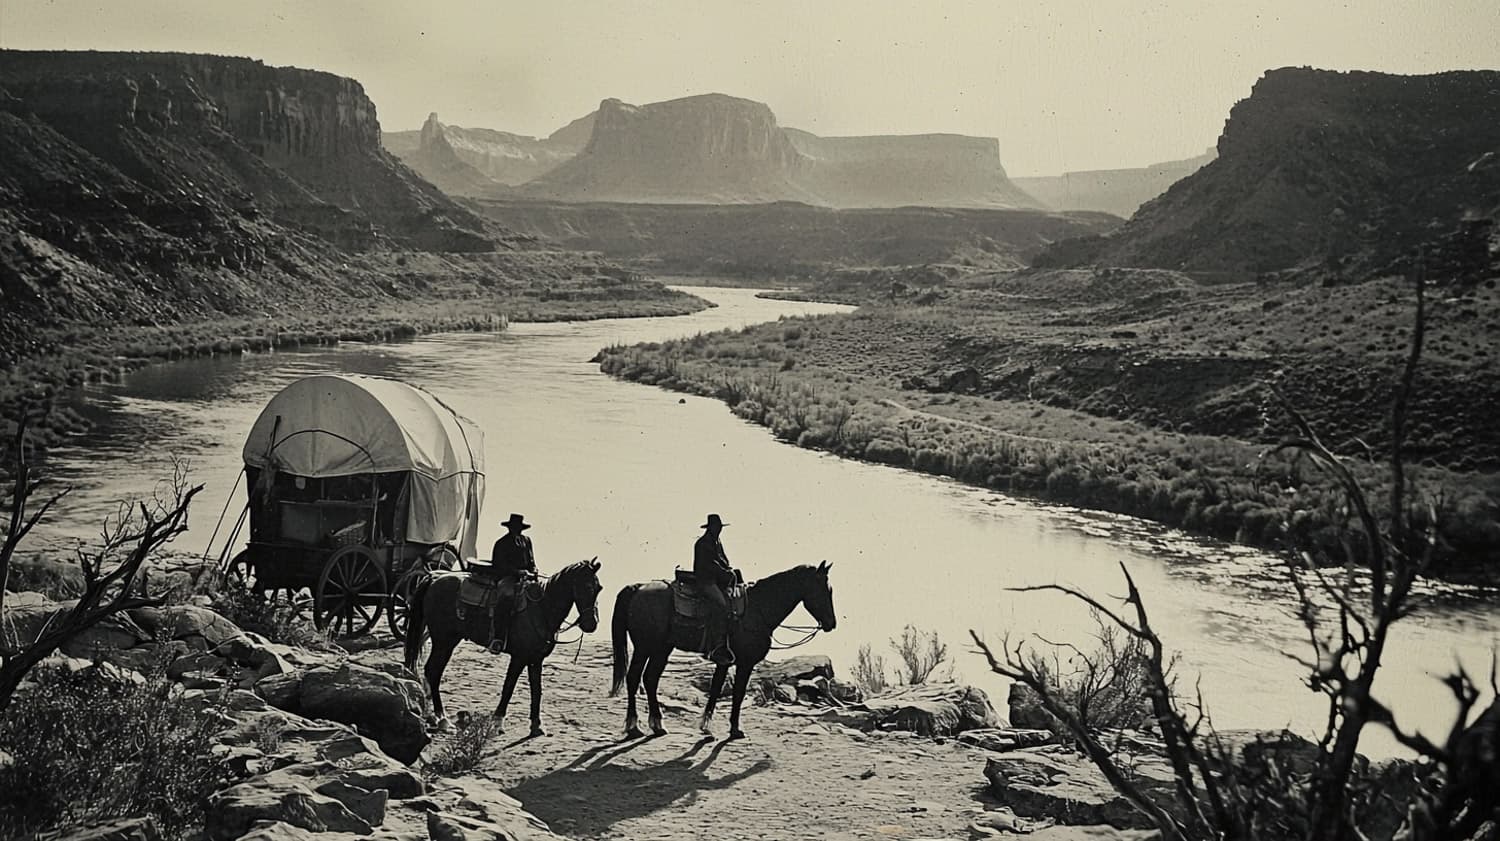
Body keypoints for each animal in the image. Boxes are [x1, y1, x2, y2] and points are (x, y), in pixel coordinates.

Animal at [411, 557, 603, 734]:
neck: (542, 609)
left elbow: (537, 690)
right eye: (585, 587)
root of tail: (435, 578)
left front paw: (537, 724)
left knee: (430, 671)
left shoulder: (536, 659)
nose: (591, 624)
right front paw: (498, 721)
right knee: (433, 672)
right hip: (444, 641)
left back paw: (435, 716)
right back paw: (442, 719)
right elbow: (509, 687)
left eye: (599, 588)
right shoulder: (519, 657)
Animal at [612, 560, 846, 737]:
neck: (757, 609)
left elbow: (716, 689)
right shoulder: (745, 663)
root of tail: (638, 588)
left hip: (662, 649)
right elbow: (738, 693)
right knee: (633, 678)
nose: (831, 623)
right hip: (645, 647)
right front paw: (735, 729)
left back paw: (657, 725)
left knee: (650, 679)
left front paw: (705, 725)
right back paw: (633, 725)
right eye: (824, 590)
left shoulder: (724, 661)